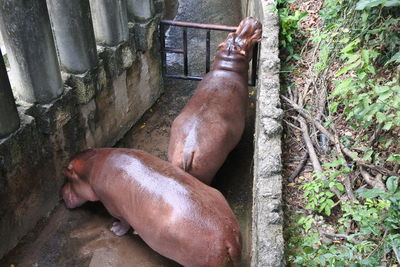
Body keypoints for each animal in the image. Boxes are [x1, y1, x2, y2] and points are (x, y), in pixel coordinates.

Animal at [59, 149, 241, 267]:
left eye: (68, 179)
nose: (61, 194)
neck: (93, 164)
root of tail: (228, 235)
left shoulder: (114, 207)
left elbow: (123, 222)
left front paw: (115, 229)